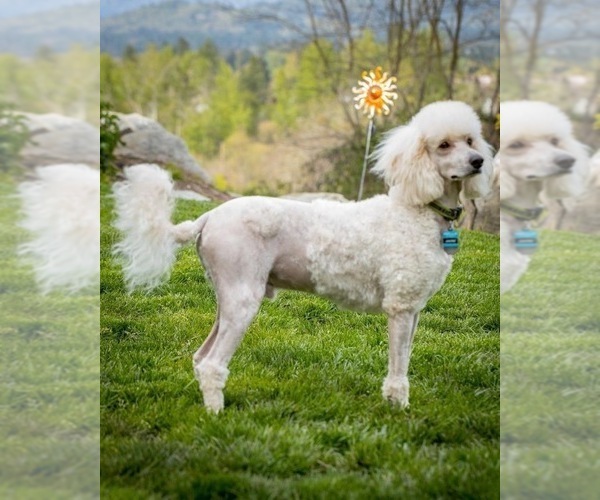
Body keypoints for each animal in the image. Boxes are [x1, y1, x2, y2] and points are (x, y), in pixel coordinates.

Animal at [111, 99, 492, 412]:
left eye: (471, 140)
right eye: (443, 145)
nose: (478, 162)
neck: (418, 211)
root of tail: (208, 217)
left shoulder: (413, 309)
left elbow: (406, 357)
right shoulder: (400, 307)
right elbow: (398, 367)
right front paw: (398, 408)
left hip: (229, 298)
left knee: (201, 356)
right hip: (243, 298)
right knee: (211, 363)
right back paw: (216, 416)